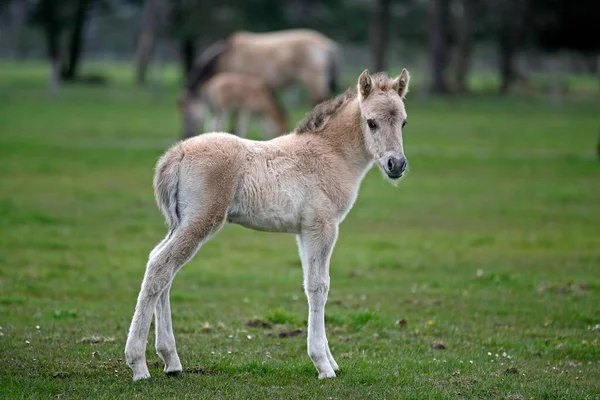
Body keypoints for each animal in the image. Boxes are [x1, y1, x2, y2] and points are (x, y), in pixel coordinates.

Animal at [124, 69, 410, 382]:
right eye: (371, 122)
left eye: (404, 122)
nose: (396, 165)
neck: (330, 153)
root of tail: (176, 153)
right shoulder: (321, 226)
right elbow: (318, 286)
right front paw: (323, 364)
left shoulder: (303, 231)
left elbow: (313, 284)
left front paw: (330, 361)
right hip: (200, 222)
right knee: (160, 267)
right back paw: (138, 364)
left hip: (180, 223)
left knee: (161, 266)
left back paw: (171, 360)